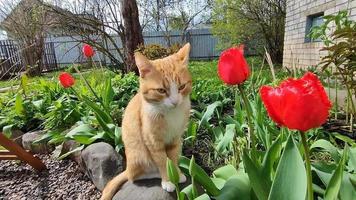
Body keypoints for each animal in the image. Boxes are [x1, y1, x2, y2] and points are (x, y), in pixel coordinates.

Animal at [100, 43, 192, 199]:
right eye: (161, 90)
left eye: (181, 87)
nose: (175, 102)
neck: (171, 113)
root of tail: (127, 167)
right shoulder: (153, 141)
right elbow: (162, 161)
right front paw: (167, 180)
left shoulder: (175, 139)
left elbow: (173, 158)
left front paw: (176, 173)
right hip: (139, 154)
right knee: (133, 176)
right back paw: (154, 174)